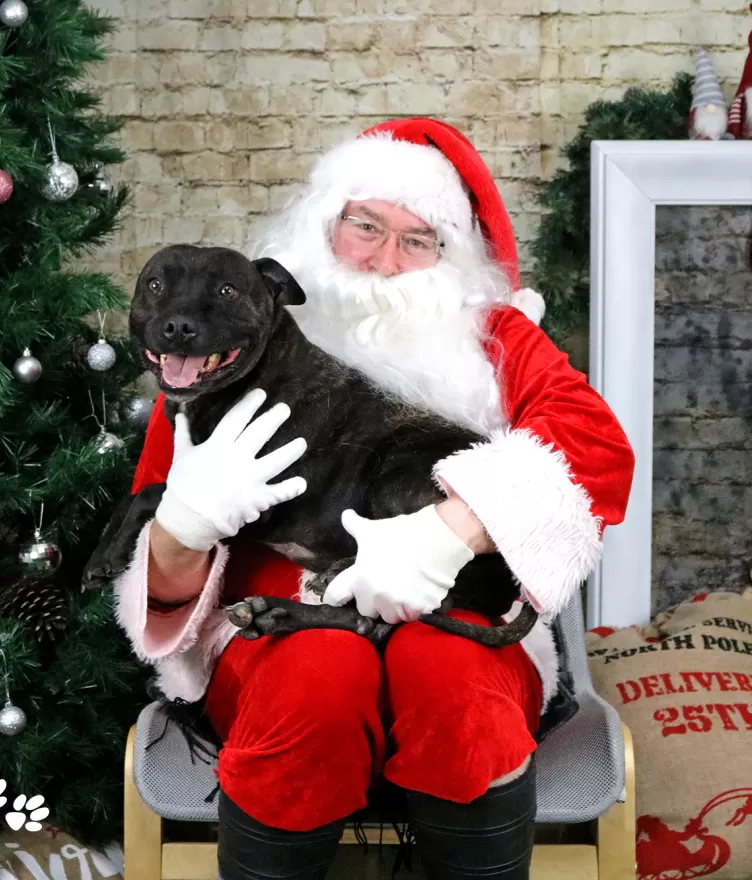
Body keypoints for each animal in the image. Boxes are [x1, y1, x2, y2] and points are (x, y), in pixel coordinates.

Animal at [85, 244, 536, 648]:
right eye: (155, 284)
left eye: (227, 290)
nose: (178, 326)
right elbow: (135, 495)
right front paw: (101, 555)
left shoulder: (261, 495)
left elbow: (155, 492)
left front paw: (110, 550)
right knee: (374, 619)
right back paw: (278, 613)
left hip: (396, 477)